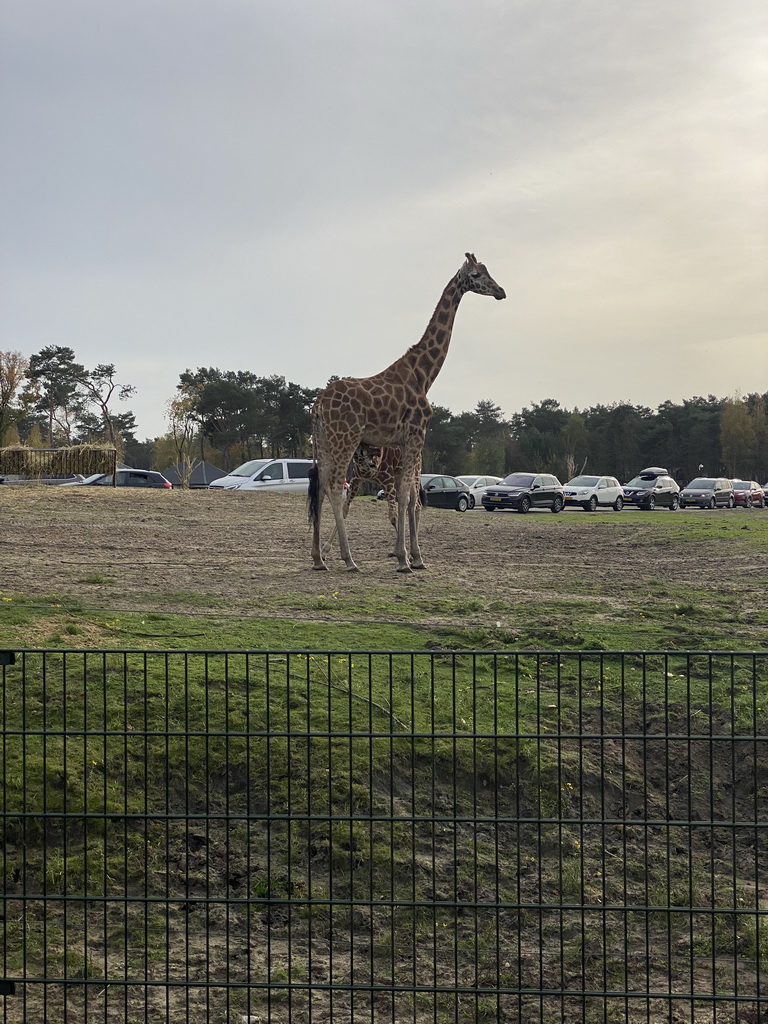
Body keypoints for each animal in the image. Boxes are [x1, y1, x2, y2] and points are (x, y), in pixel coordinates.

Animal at [307, 251, 505, 573]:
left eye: (487, 270)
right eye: (476, 274)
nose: (501, 291)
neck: (424, 374)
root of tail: (318, 406)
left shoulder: (404, 442)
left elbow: (409, 496)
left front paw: (412, 556)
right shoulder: (416, 434)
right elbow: (405, 495)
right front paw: (405, 560)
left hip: (324, 441)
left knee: (321, 485)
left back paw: (318, 559)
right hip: (345, 438)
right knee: (336, 486)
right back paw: (349, 560)